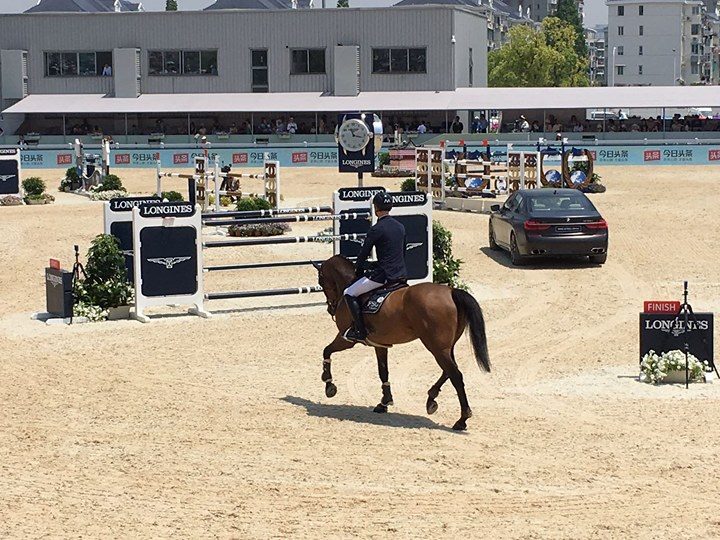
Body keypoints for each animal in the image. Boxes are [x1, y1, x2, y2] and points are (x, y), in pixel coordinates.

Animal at [312, 256, 492, 430]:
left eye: (321, 280)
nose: (330, 309)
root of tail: (451, 291)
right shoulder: (380, 345)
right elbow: (383, 372)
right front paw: (384, 402)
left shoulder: (345, 338)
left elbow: (326, 350)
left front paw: (329, 384)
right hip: (445, 347)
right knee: (448, 371)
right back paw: (431, 399)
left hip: (437, 348)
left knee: (455, 375)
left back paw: (462, 419)